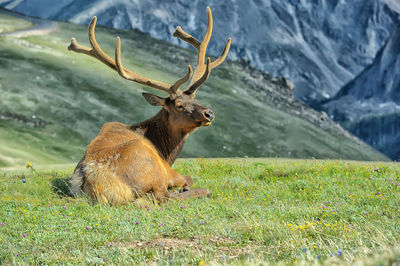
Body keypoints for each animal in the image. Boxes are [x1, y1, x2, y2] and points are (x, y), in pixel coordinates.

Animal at [68, 7, 231, 205]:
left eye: (195, 98)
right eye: (179, 105)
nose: (209, 114)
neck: (166, 152)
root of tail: (93, 182)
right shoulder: (168, 171)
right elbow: (188, 179)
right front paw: (186, 186)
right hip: (152, 170)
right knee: (164, 198)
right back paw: (201, 191)